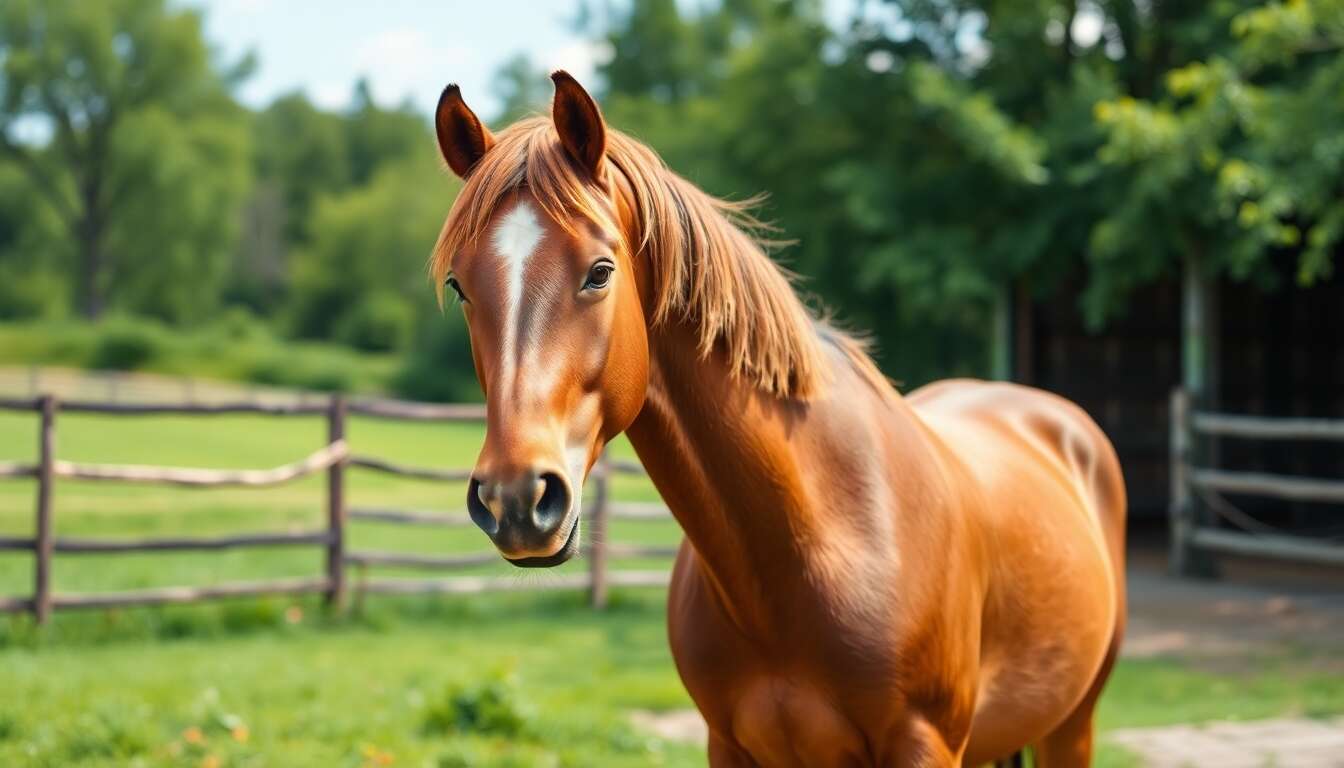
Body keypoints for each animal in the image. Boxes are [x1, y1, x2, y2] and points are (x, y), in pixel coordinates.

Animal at [427, 71, 1126, 767]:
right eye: (460, 286)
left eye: (600, 273)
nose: (517, 497)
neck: (813, 541)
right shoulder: (728, 745)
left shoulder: (925, 745)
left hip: (1072, 726)